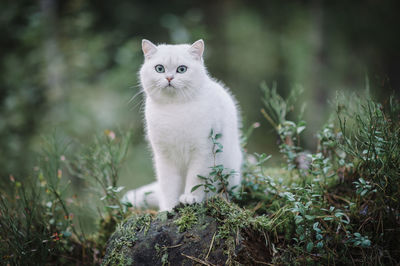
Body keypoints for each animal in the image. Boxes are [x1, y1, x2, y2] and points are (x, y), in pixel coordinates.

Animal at [123, 39, 242, 211]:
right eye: (159, 68)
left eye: (182, 69)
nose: (169, 78)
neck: (174, 109)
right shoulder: (164, 157)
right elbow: (169, 186)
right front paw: (168, 208)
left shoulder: (203, 152)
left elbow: (196, 179)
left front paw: (190, 198)